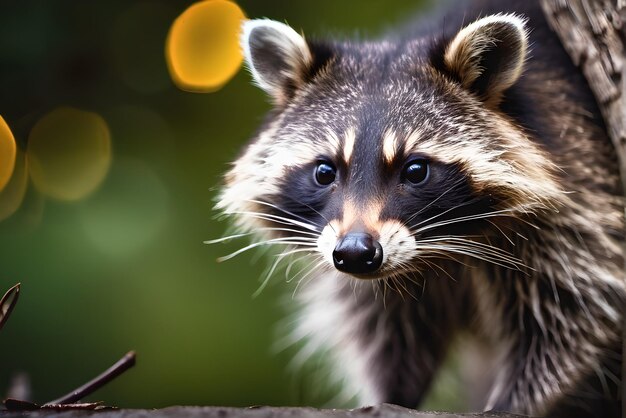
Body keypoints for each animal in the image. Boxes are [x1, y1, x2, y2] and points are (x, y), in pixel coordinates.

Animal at [213, 0, 620, 416]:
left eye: (415, 170)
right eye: (325, 171)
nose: (355, 252)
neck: (441, 247)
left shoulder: (579, 192)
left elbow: (576, 313)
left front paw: (514, 400)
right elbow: (383, 328)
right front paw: (390, 392)